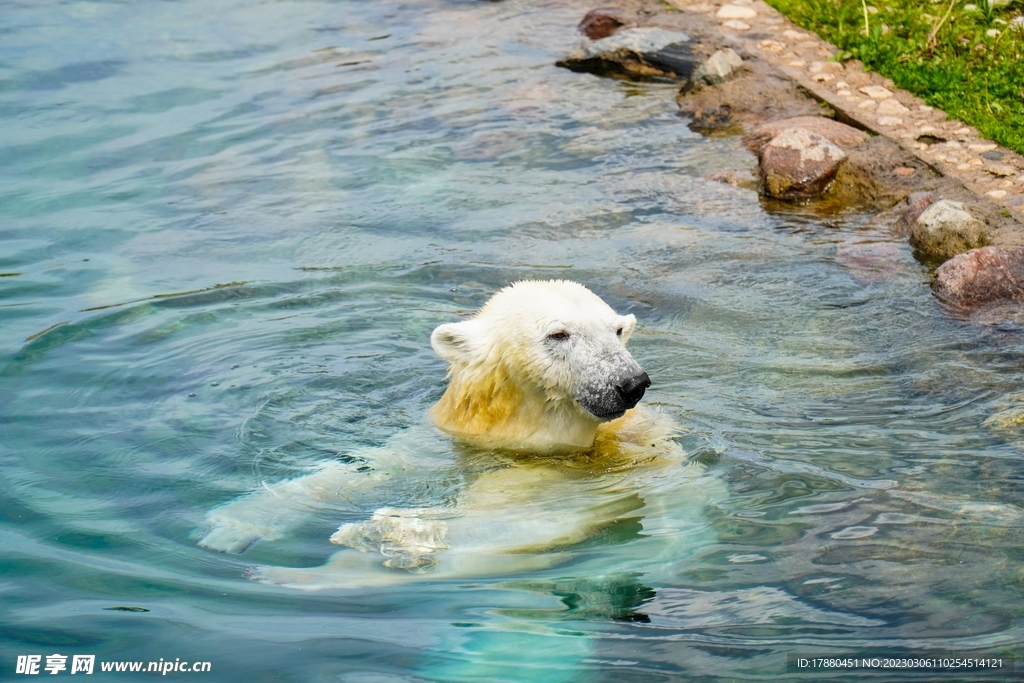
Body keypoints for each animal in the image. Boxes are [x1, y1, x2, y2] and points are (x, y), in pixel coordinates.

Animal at [199, 280, 718, 589]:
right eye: (559, 334)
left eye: (616, 331)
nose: (630, 382)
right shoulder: (452, 433)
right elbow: (369, 464)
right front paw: (228, 526)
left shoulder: (597, 464)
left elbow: (526, 504)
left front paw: (399, 533)